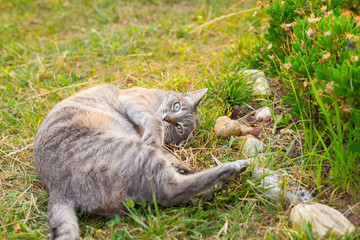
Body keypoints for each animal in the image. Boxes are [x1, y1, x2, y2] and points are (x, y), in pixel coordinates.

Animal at [33, 83, 248, 239]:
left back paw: (228, 174)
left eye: (179, 128)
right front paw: (155, 133)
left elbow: (170, 154)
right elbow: (153, 120)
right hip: (135, 153)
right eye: (176, 106)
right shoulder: (132, 101)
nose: (168, 118)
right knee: (170, 192)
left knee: (172, 190)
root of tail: (57, 189)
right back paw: (230, 172)